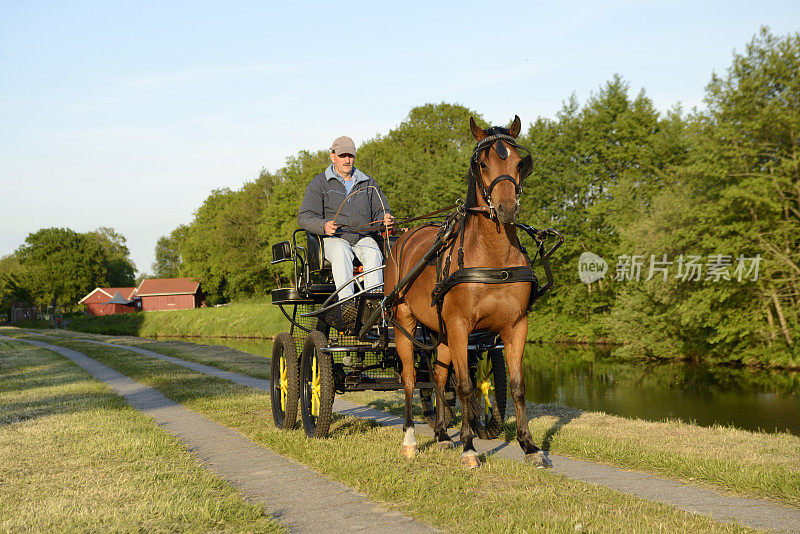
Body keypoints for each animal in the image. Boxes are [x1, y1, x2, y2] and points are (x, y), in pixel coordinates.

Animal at [382, 116, 552, 468]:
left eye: (519, 162)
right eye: (482, 164)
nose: (506, 208)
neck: (493, 255)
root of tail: (402, 237)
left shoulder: (515, 326)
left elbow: (517, 387)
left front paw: (528, 446)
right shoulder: (461, 325)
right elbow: (464, 387)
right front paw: (469, 447)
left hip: (441, 330)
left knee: (436, 375)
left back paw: (442, 434)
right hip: (403, 319)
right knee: (410, 378)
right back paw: (410, 440)